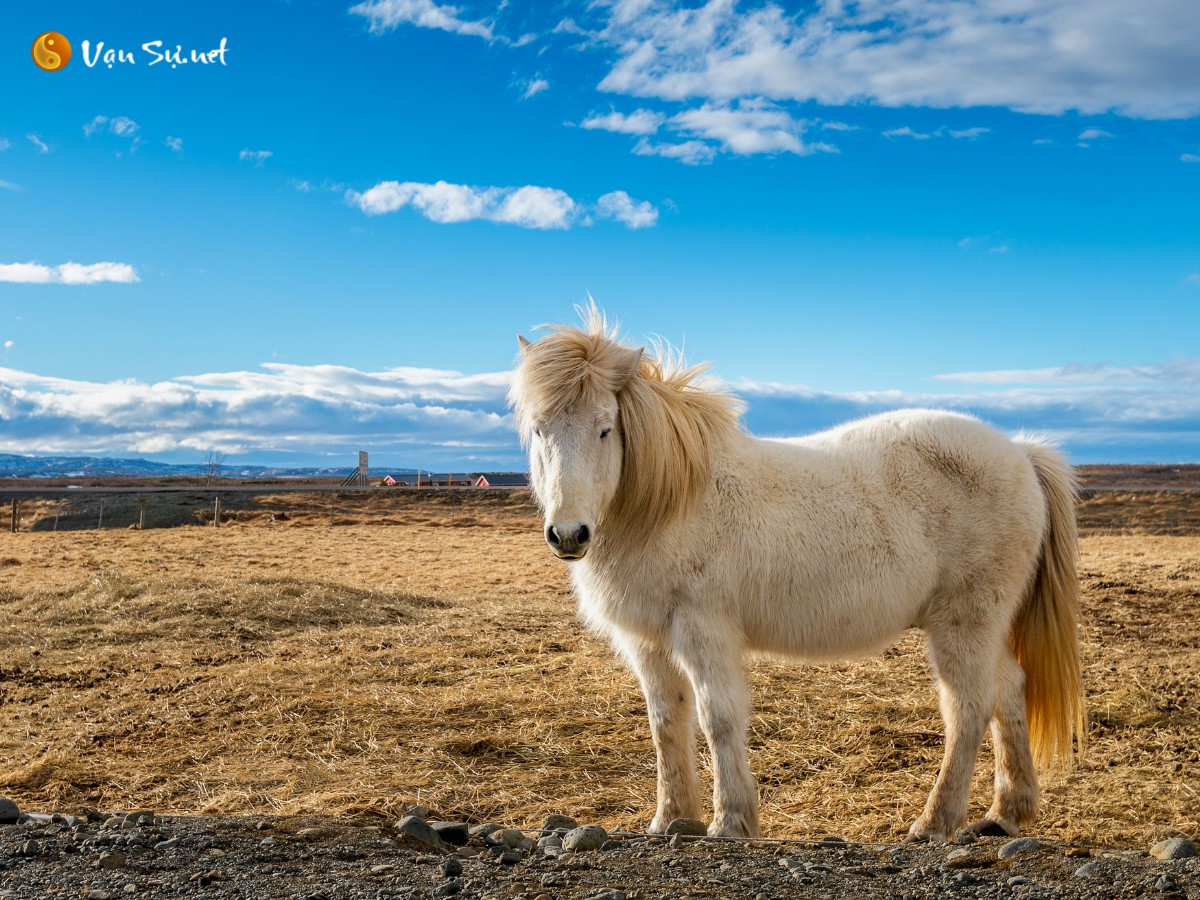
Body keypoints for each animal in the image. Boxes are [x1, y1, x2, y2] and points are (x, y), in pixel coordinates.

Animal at [506, 309, 1089, 844]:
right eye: (538, 428)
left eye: (605, 427)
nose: (569, 535)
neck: (670, 501)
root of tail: (1021, 453)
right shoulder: (647, 640)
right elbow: (667, 723)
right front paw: (670, 820)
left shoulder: (702, 629)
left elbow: (718, 717)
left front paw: (730, 822)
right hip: (985, 626)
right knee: (1009, 690)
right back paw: (1007, 813)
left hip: (963, 623)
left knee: (968, 708)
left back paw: (936, 822)